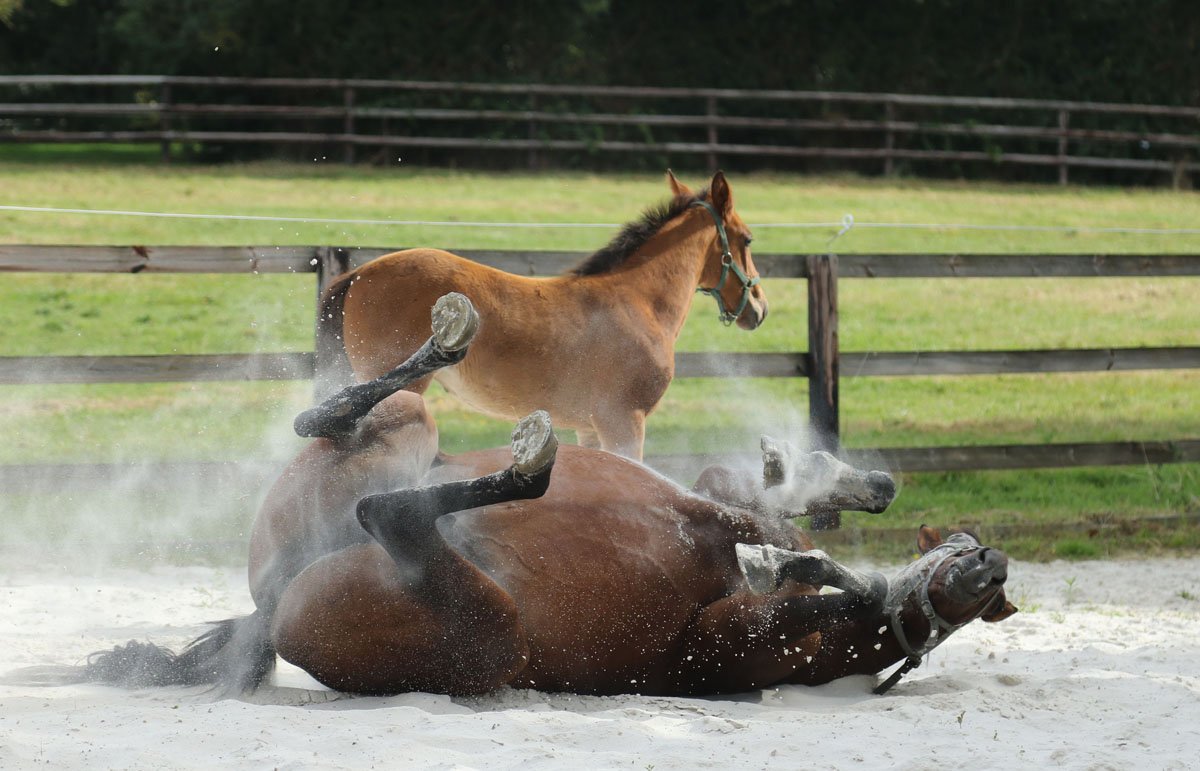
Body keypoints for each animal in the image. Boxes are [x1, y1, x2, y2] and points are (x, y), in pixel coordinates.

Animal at [80, 298, 1015, 698]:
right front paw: (822, 513)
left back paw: (526, 458)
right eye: (963, 547)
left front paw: (819, 563)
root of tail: (268, 609)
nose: (992, 560)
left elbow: (807, 562)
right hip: (406, 430)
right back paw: (452, 344)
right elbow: (774, 517)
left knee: (393, 514)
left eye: (983, 597)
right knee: (336, 421)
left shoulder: (720, 641)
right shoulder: (713, 506)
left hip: (492, 633)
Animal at [309, 170, 767, 461]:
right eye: (746, 239)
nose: (760, 308)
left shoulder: (589, 426)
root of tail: (359, 273)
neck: (638, 302)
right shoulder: (624, 421)